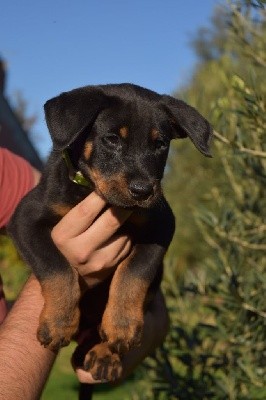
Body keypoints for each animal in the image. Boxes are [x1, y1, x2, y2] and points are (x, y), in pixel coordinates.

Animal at [8, 83, 212, 382]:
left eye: (160, 145)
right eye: (112, 139)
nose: (143, 191)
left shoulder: (162, 225)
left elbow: (134, 272)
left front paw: (122, 326)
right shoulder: (25, 218)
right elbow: (56, 266)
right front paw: (58, 322)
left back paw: (104, 354)